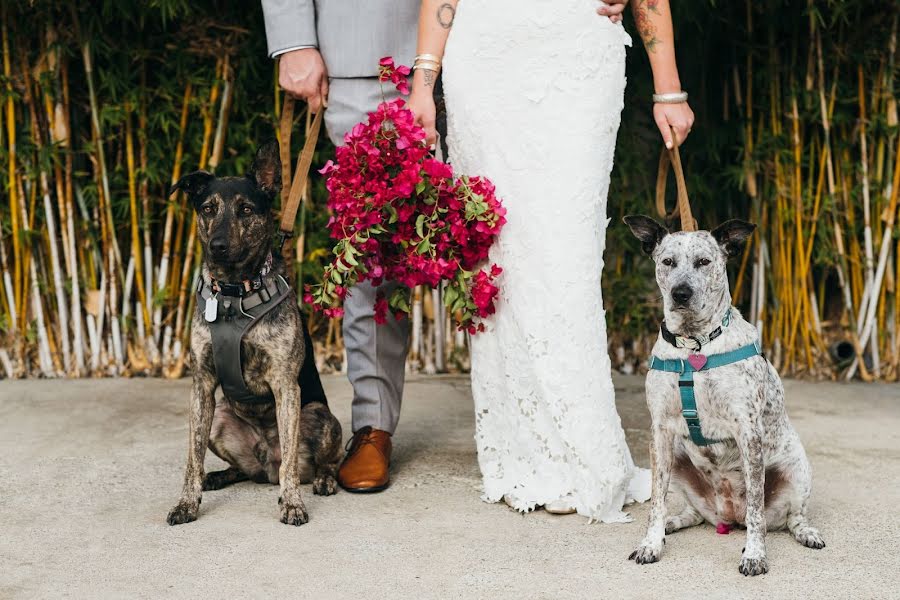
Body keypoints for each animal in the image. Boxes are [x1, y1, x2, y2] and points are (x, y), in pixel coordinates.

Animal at [624, 216, 824, 576]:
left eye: (704, 262)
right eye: (667, 262)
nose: (680, 293)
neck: (694, 346)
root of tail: (728, 516)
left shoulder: (748, 432)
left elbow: (757, 509)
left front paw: (755, 555)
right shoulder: (659, 430)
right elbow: (656, 501)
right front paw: (651, 543)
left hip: (797, 468)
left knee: (791, 517)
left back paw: (806, 533)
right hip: (677, 458)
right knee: (692, 513)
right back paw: (672, 525)